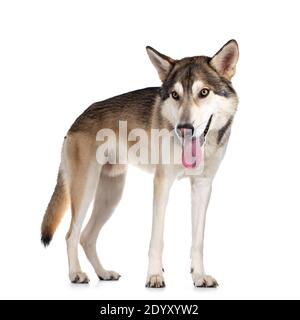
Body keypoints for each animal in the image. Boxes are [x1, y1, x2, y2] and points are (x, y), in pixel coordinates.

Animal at [41, 39, 239, 288]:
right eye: (174, 95)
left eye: (204, 92)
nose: (184, 128)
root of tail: (75, 122)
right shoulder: (162, 184)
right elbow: (157, 238)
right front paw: (155, 276)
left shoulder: (203, 186)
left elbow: (198, 241)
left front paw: (199, 276)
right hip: (85, 190)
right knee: (71, 235)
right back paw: (76, 273)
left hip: (111, 195)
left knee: (86, 237)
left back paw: (103, 273)